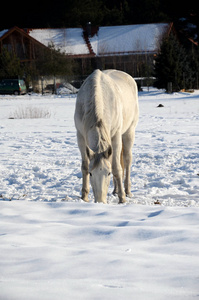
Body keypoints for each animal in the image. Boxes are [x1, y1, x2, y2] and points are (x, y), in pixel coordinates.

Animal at [74, 69, 138, 203]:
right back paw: (115, 190)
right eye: (91, 173)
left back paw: (127, 191)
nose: (100, 202)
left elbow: (116, 168)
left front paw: (122, 198)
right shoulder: (80, 136)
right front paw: (84, 197)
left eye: (108, 173)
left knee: (127, 160)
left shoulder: (116, 136)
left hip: (129, 132)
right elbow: (84, 166)